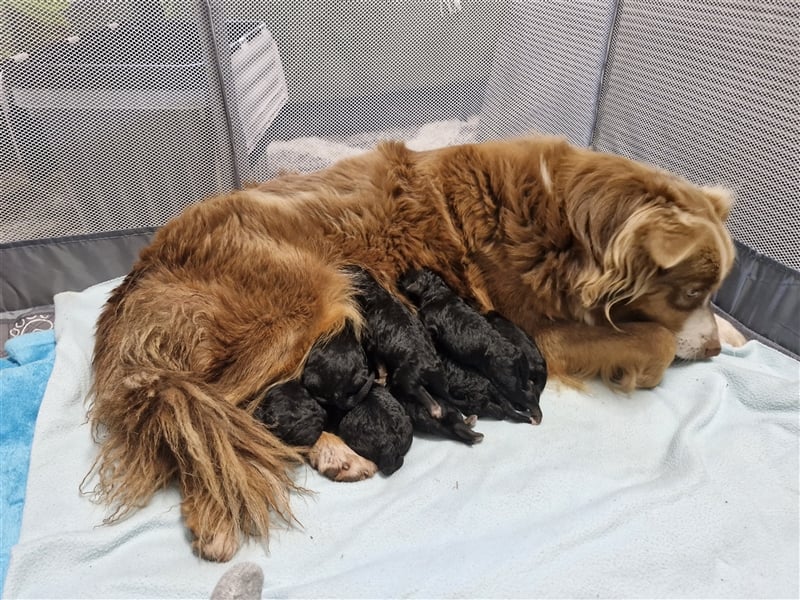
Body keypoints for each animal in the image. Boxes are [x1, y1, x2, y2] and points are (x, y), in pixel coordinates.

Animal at [352, 268, 482, 446]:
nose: (400, 276)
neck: (376, 292)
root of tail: (431, 370)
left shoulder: (372, 345)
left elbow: (380, 366)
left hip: (405, 377)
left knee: (425, 397)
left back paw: (436, 410)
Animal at [398, 268, 536, 418]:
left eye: (409, 276)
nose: (400, 276)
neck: (437, 292)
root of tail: (516, 352)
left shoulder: (431, 324)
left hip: (507, 380)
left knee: (527, 397)